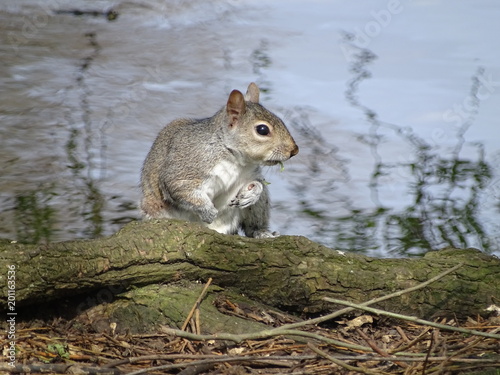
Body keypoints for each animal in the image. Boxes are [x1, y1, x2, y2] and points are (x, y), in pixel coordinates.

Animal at [139, 84, 298, 239]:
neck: (235, 159)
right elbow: (179, 186)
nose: (294, 150)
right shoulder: (187, 164)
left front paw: (252, 192)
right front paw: (208, 210)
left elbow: (258, 183)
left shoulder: (251, 173)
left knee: (251, 227)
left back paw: (262, 233)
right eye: (262, 129)